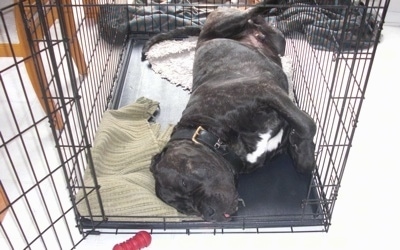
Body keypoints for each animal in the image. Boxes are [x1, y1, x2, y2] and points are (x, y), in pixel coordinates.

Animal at [145, 5, 318, 222]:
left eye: (185, 183)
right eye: (185, 209)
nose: (208, 214)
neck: (212, 133)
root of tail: (201, 32)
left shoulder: (264, 91)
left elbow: (307, 125)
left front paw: (304, 147)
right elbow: (304, 162)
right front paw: (300, 147)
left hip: (226, 22)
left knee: (252, 10)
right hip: (275, 43)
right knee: (269, 28)